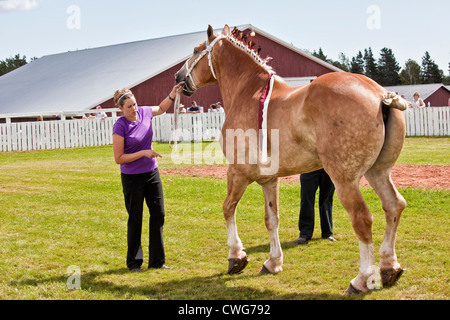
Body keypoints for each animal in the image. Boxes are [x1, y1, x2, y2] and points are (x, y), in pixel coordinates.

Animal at [175, 25, 408, 296]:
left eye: (196, 50)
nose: (178, 78)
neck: (249, 92)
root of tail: (381, 94)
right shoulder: (269, 180)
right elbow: (271, 219)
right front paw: (273, 262)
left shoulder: (237, 173)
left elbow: (228, 208)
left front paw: (236, 256)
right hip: (378, 172)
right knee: (394, 206)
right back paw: (389, 267)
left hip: (345, 180)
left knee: (362, 219)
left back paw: (363, 279)